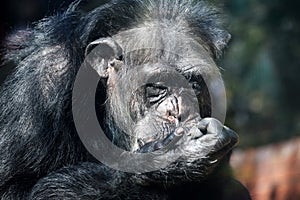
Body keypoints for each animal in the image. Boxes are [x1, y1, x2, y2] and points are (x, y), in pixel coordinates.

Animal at [0, 0, 251, 199]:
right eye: (158, 87)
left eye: (194, 85)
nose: (179, 112)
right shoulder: (43, 81)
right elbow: (13, 189)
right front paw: (171, 155)